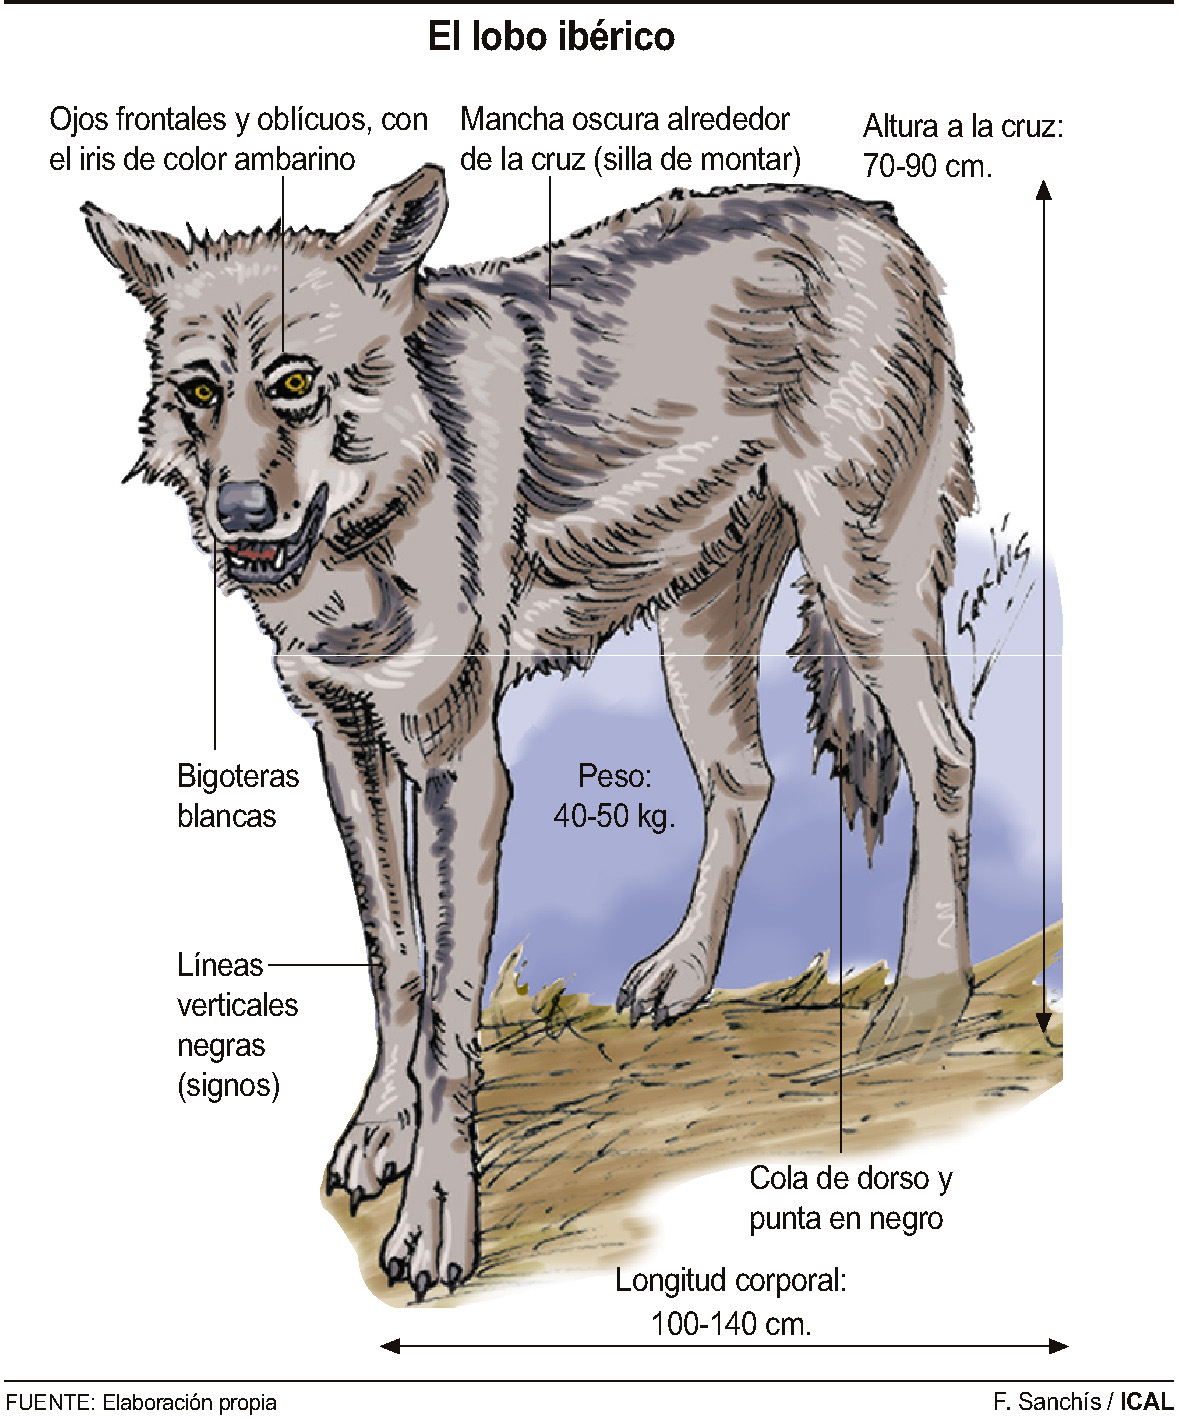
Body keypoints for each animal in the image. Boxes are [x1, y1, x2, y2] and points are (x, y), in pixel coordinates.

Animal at [86, 166, 976, 1299]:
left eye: (294, 383)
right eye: (202, 392)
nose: (241, 512)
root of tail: (873, 219)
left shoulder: (460, 760)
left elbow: (447, 1020)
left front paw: (436, 1220)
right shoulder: (347, 744)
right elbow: (395, 967)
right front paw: (380, 1132)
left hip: (866, 594)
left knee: (947, 754)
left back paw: (929, 997)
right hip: (698, 634)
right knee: (747, 779)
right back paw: (684, 974)